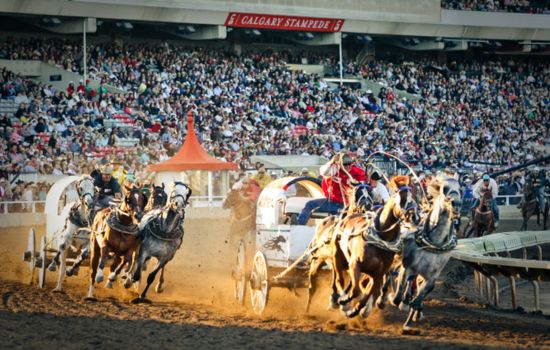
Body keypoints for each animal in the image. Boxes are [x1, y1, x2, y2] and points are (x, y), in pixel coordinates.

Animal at [334, 176, 412, 318]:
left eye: (412, 197)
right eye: (401, 198)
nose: (413, 215)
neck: (381, 239)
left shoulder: (378, 274)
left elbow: (366, 295)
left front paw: (356, 310)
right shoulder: (355, 264)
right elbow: (355, 290)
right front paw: (345, 301)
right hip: (337, 257)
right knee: (339, 279)